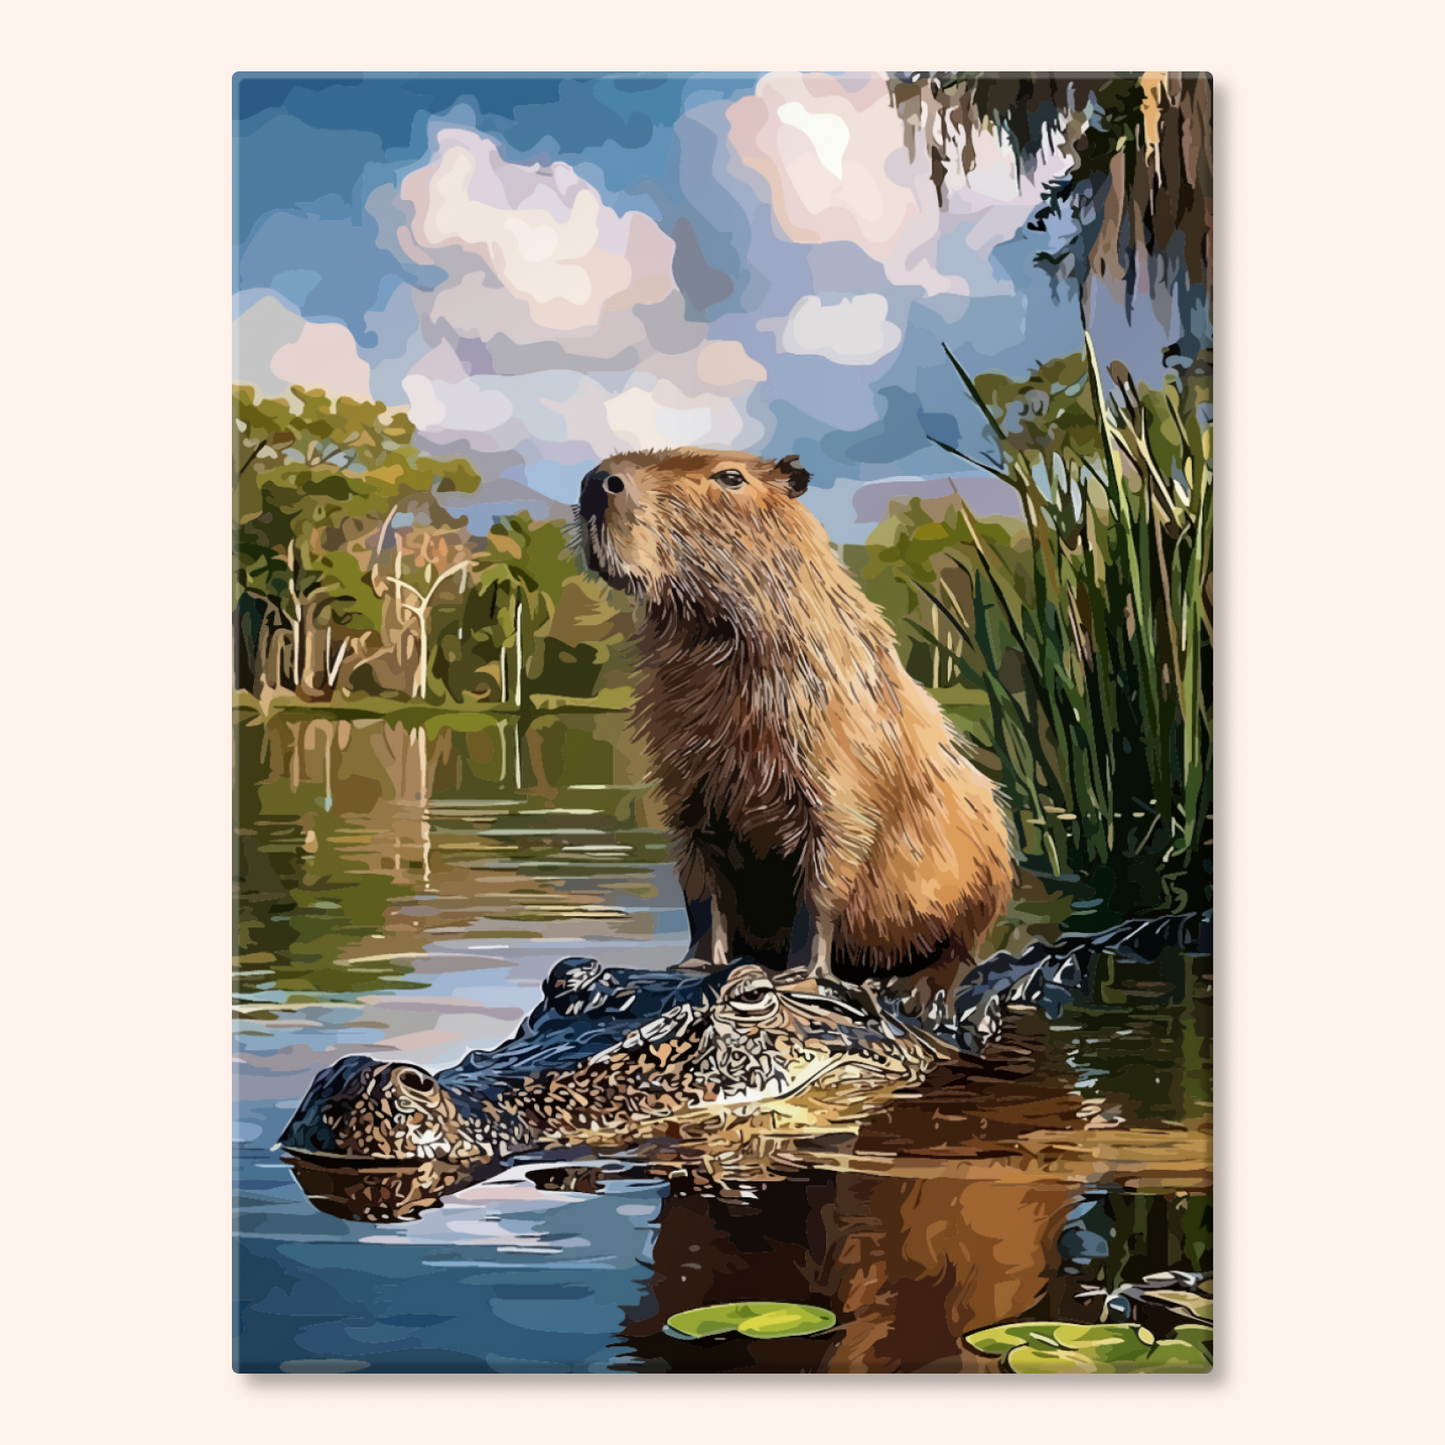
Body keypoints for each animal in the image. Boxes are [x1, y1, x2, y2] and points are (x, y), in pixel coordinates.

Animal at [578, 448, 1015, 1021]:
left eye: (731, 477)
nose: (598, 481)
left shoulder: (838, 768)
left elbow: (826, 877)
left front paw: (802, 974)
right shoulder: (687, 788)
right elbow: (700, 886)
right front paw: (692, 965)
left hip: (987, 858)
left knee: (961, 949)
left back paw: (914, 989)